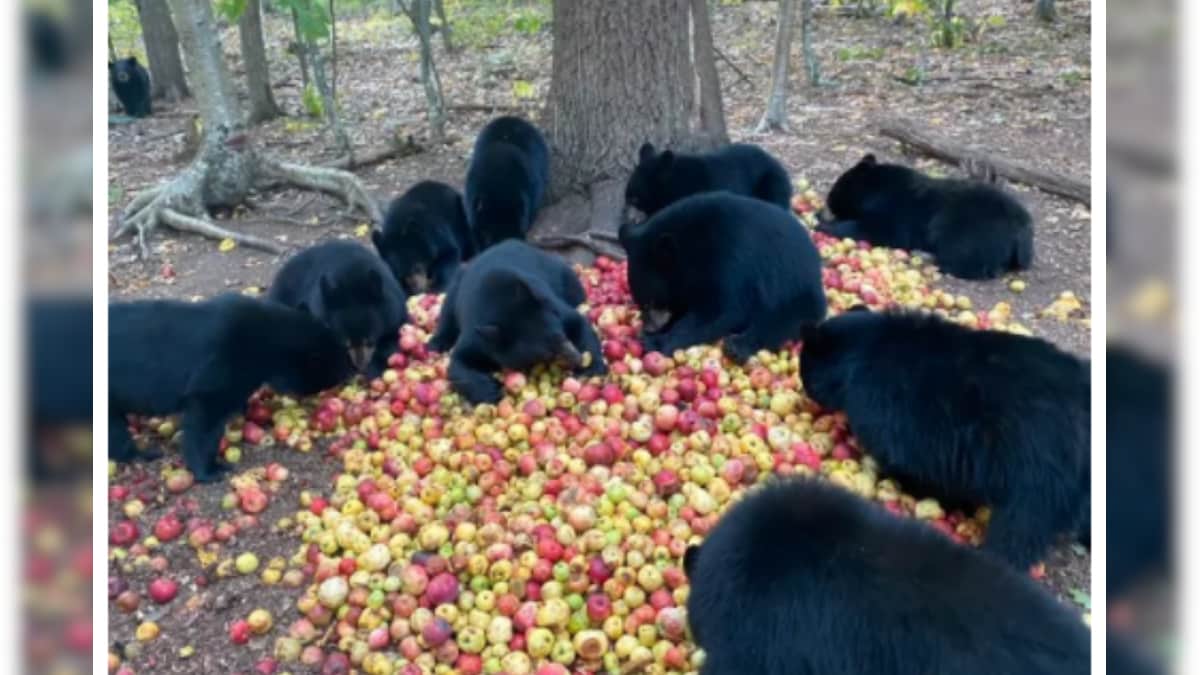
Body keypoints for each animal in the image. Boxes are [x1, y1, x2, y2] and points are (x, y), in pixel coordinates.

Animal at [109, 294, 354, 481]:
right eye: (339, 363)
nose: (354, 370)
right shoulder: (217, 375)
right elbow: (204, 424)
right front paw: (209, 470)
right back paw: (142, 454)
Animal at [427, 240, 606, 405]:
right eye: (546, 354)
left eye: (560, 336)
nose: (578, 358)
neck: (501, 303)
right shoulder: (479, 333)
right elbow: (458, 361)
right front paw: (490, 390)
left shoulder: (551, 304)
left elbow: (578, 322)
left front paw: (592, 367)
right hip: (456, 286)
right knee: (447, 310)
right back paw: (436, 343)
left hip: (564, 275)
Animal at [619, 192, 826, 363]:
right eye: (640, 302)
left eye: (651, 302)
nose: (649, 328)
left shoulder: (729, 261)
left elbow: (722, 311)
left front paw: (655, 341)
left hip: (793, 288)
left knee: (783, 319)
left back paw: (738, 346)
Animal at [798, 308, 1090, 571]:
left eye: (804, 373)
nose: (806, 392)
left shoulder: (894, 413)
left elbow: (914, 467)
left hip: (1037, 463)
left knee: (1021, 526)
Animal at [818, 154, 1033, 280]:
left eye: (837, 187)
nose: (828, 200)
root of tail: (1021, 230)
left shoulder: (893, 212)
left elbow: (878, 230)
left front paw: (823, 222)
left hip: (968, 226)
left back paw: (926, 255)